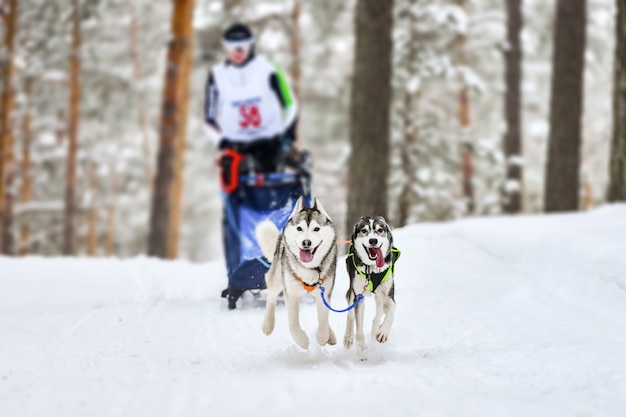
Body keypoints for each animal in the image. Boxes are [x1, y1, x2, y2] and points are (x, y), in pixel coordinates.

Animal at [256, 195, 338, 348]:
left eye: (316, 229)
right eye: (299, 228)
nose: (306, 242)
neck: (309, 268)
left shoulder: (324, 293)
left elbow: (323, 322)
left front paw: (322, 337)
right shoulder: (291, 294)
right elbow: (293, 325)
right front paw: (303, 341)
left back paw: (331, 335)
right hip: (278, 277)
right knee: (271, 295)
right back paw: (268, 324)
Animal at [342, 216, 400, 350]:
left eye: (380, 230)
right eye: (364, 231)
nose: (373, 240)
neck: (372, 270)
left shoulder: (389, 296)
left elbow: (390, 314)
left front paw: (382, 332)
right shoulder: (358, 296)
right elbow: (358, 324)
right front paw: (361, 347)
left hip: (380, 295)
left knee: (379, 312)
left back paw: (376, 330)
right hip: (353, 291)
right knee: (350, 314)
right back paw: (348, 337)